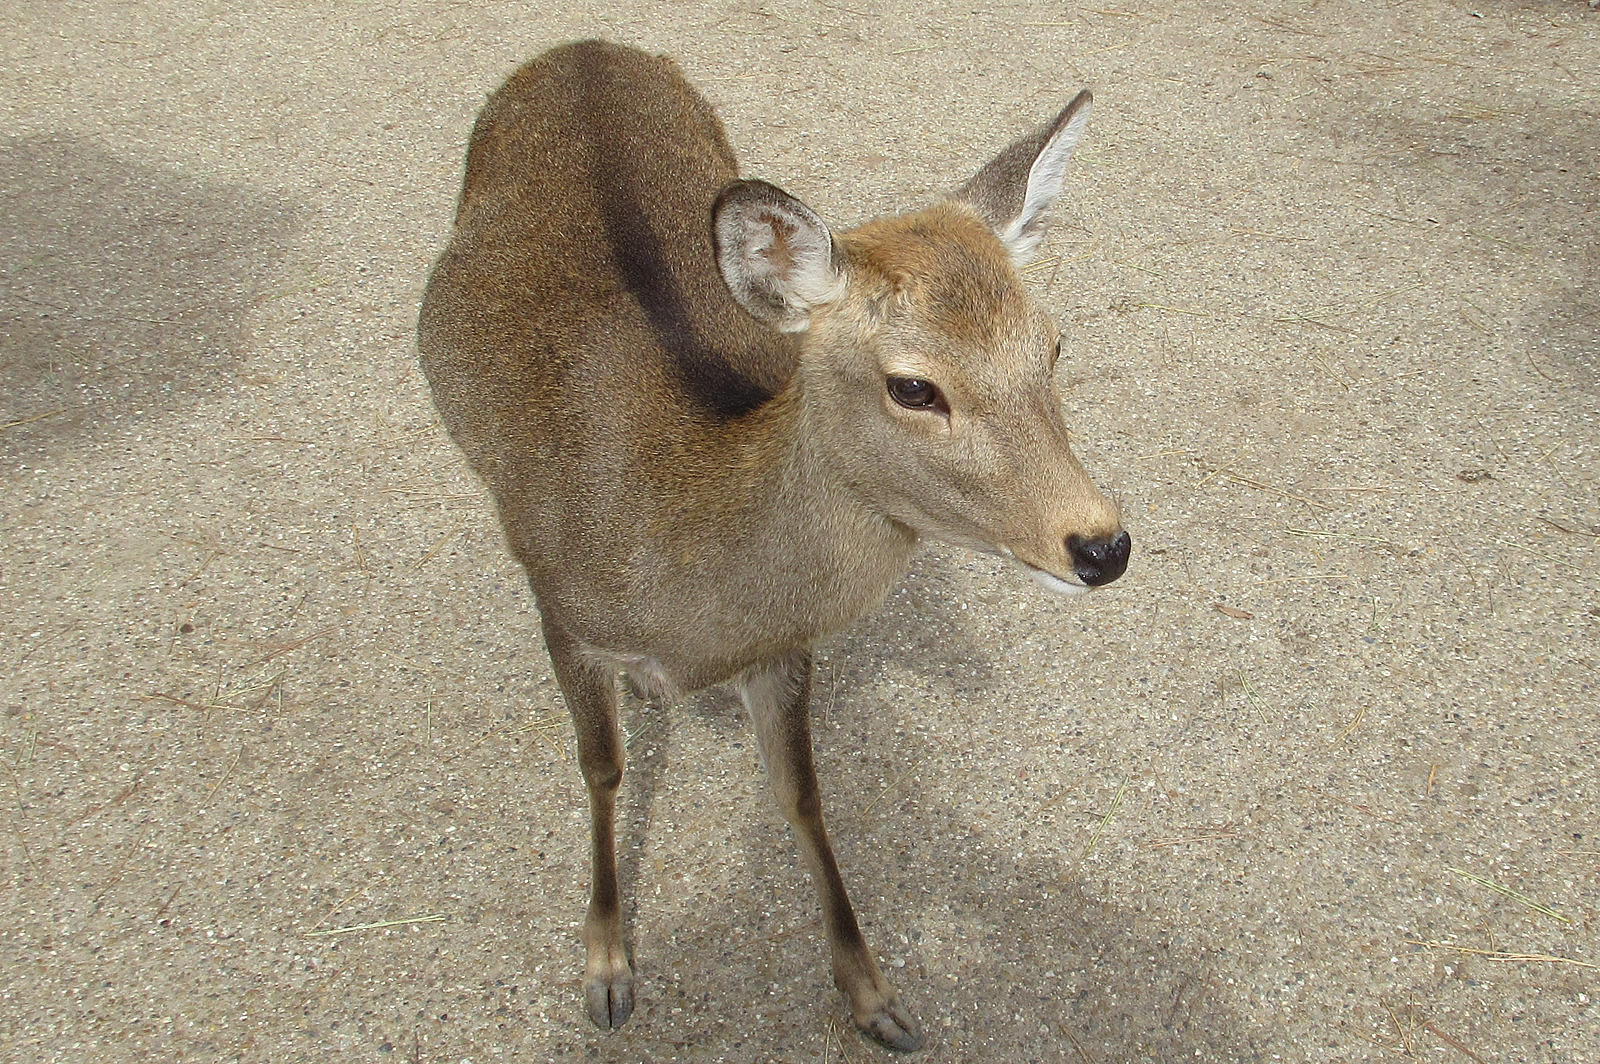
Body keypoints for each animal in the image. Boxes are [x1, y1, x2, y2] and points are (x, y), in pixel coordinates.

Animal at [418, 39, 1131, 1053]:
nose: (1102, 544)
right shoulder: (562, 604)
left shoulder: (784, 651)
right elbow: (602, 767)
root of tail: (581, 48)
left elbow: (802, 794)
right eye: (914, 387)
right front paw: (606, 968)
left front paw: (875, 998)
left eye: (1054, 344)